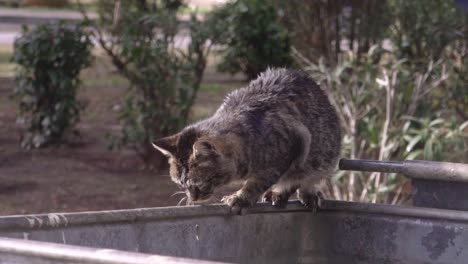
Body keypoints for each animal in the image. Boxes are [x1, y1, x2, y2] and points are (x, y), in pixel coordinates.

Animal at [154, 67, 340, 212]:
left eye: (199, 183)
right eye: (181, 184)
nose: (192, 198)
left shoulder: (299, 143)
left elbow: (262, 181)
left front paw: (241, 197)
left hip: (325, 153)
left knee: (309, 176)